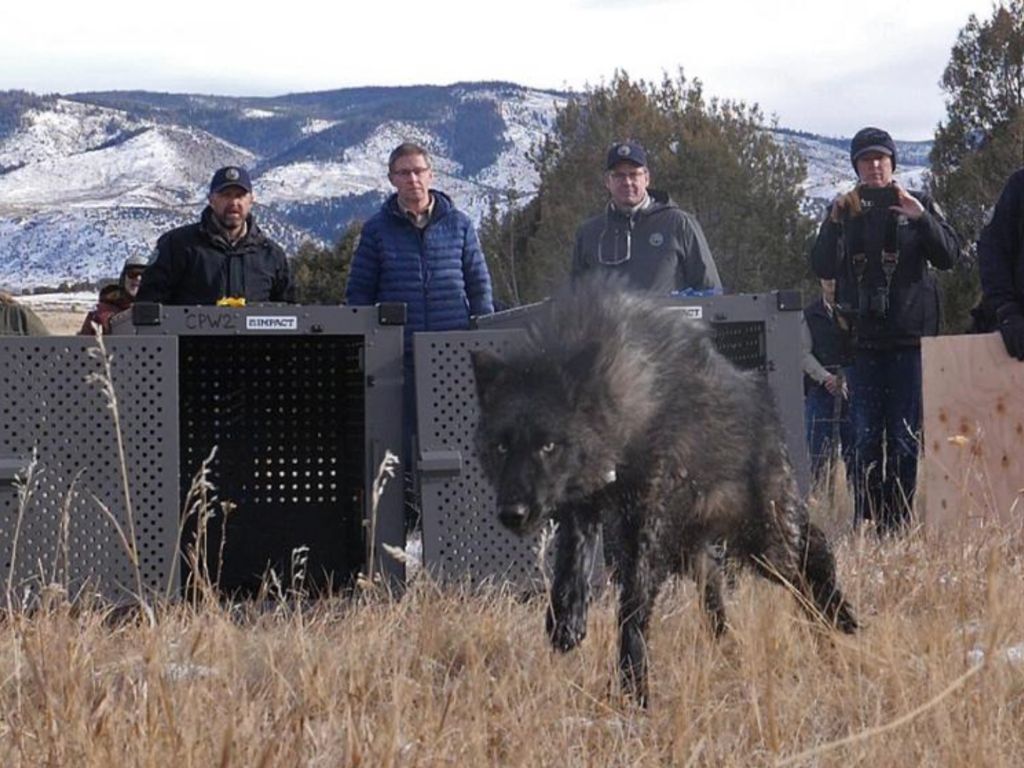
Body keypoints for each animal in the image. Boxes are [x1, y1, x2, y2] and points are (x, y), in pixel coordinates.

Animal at [470, 278, 857, 706]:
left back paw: (836, 622)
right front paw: (567, 621)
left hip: (764, 544)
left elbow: (633, 607)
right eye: (501, 447)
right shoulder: (583, 509)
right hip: (697, 551)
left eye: (548, 445)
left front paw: (634, 687)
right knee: (718, 589)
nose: (513, 513)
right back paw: (732, 649)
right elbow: (572, 566)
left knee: (810, 560)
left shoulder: (646, 523)